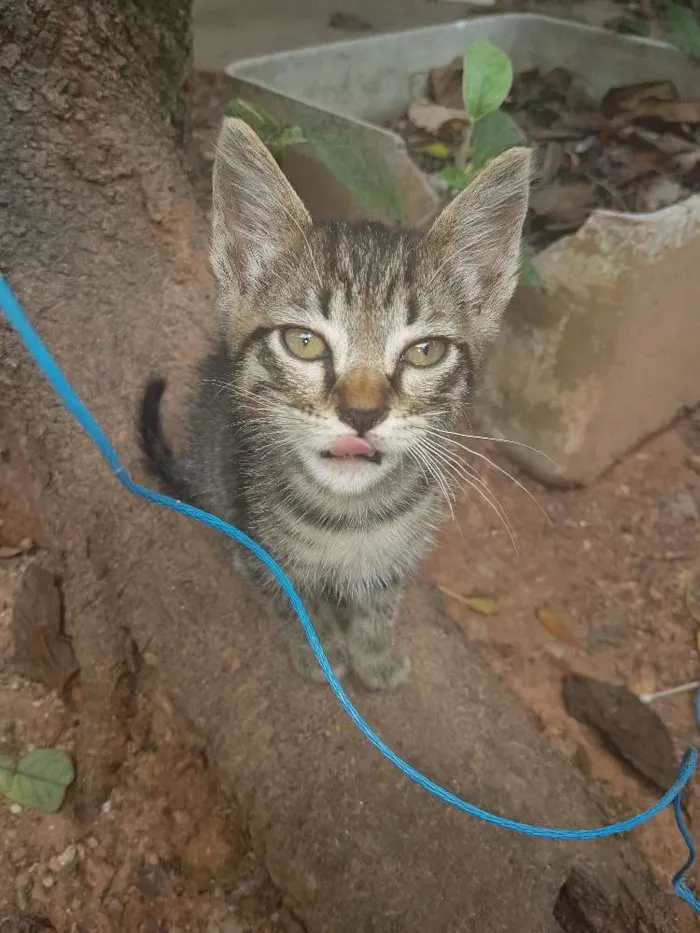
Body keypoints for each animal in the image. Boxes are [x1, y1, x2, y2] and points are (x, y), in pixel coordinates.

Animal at [142, 116, 532, 688]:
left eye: (425, 352)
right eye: (303, 342)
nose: (362, 413)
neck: (352, 518)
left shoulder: (400, 551)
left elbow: (382, 598)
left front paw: (375, 652)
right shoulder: (264, 545)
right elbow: (289, 598)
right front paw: (320, 649)